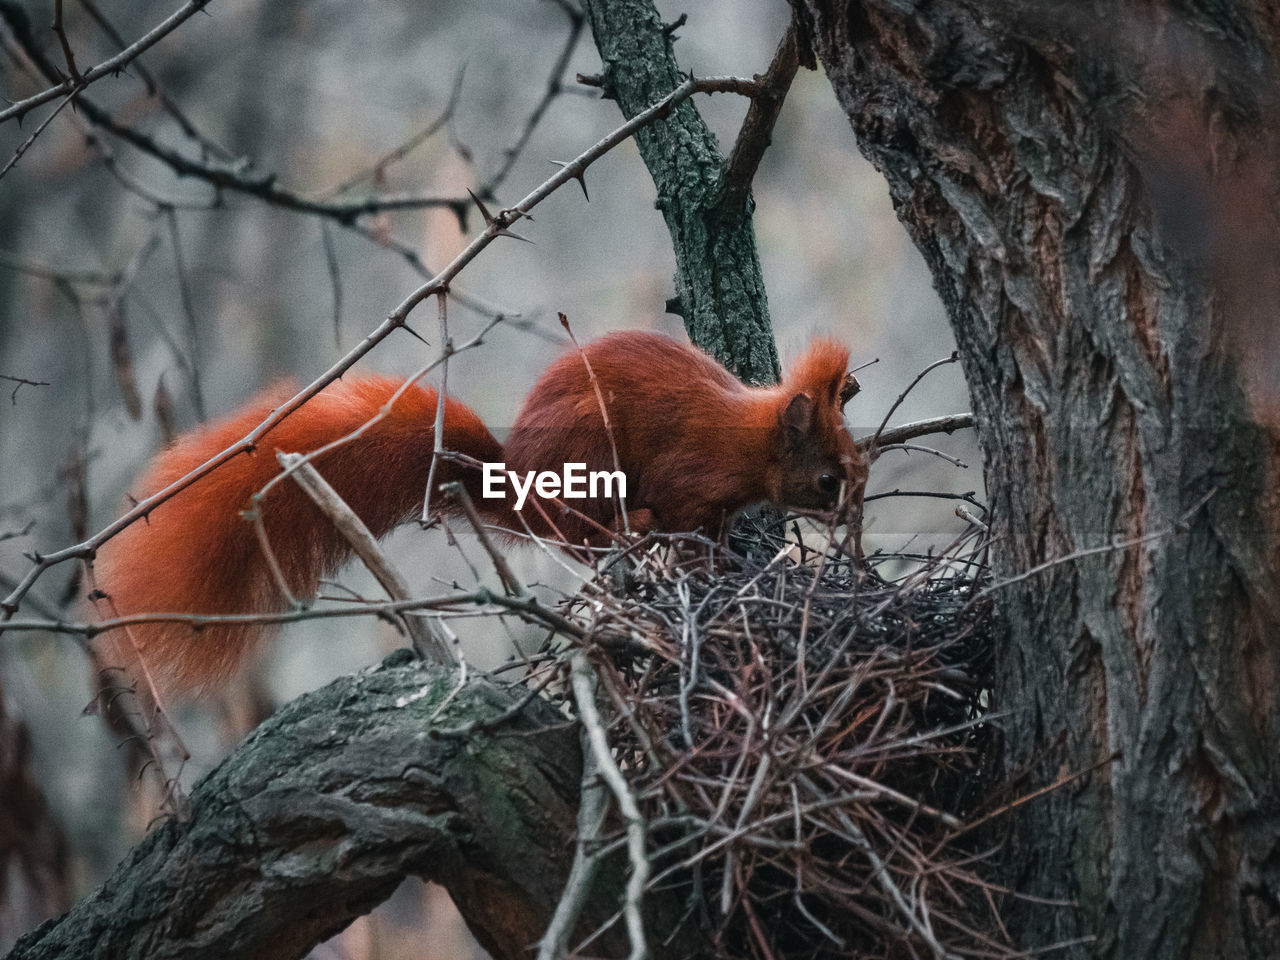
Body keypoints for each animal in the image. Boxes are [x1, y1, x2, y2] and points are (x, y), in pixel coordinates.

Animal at [94, 330, 865, 691]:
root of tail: (515, 474)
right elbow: (686, 522)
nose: (851, 507)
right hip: (588, 457)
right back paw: (628, 529)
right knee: (580, 534)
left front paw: (724, 564)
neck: (746, 438)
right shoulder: (689, 477)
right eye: (828, 478)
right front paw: (699, 562)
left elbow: (717, 538)